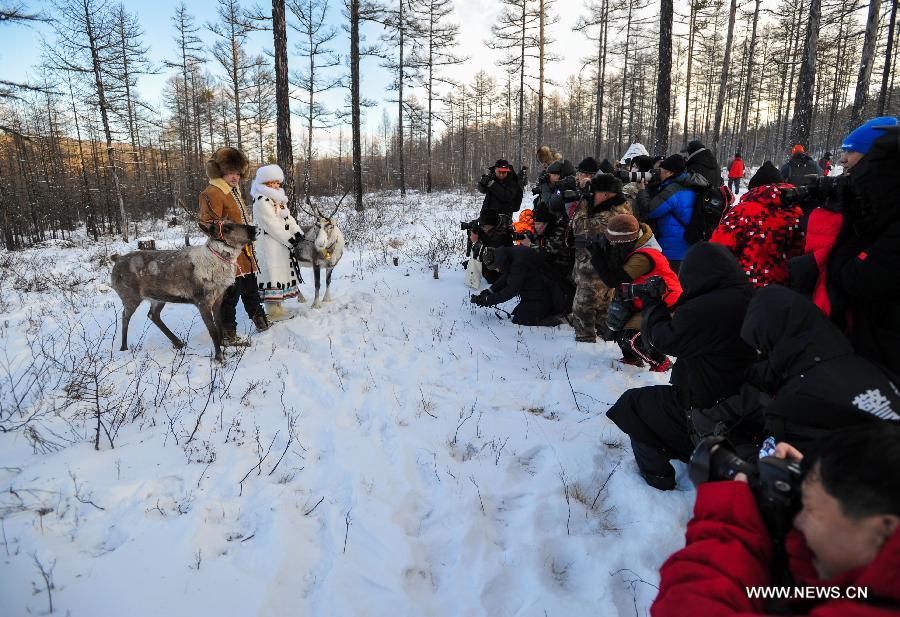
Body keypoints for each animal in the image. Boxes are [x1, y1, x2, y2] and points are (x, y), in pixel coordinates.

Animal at [110, 220, 257, 362]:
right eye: (226, 228)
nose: (254, 229)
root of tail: (117, 259)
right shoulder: (202, 302)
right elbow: (213, 330)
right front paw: (219, 357)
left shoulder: (218, 297)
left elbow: (219, 323)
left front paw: (225, 344)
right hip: (131, 298)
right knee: (125, 317)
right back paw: (124, 347)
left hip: (158, 298)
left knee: (152, 315)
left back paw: (178, 342)